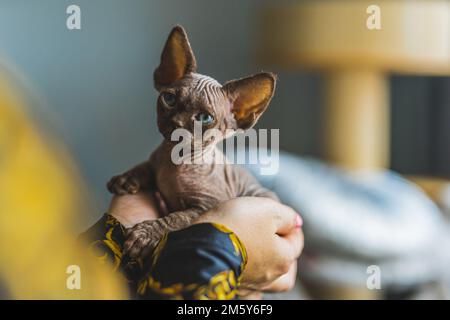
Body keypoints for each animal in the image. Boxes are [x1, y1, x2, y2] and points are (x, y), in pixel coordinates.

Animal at [108, 26, 278, 262]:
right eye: (169, 99)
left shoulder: (204, 206)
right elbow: (145, 167)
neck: (176, 161)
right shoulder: (155, 162)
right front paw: (125, 179)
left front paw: (145, 234)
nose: (176, 123)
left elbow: (175, 219)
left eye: (204, 118)